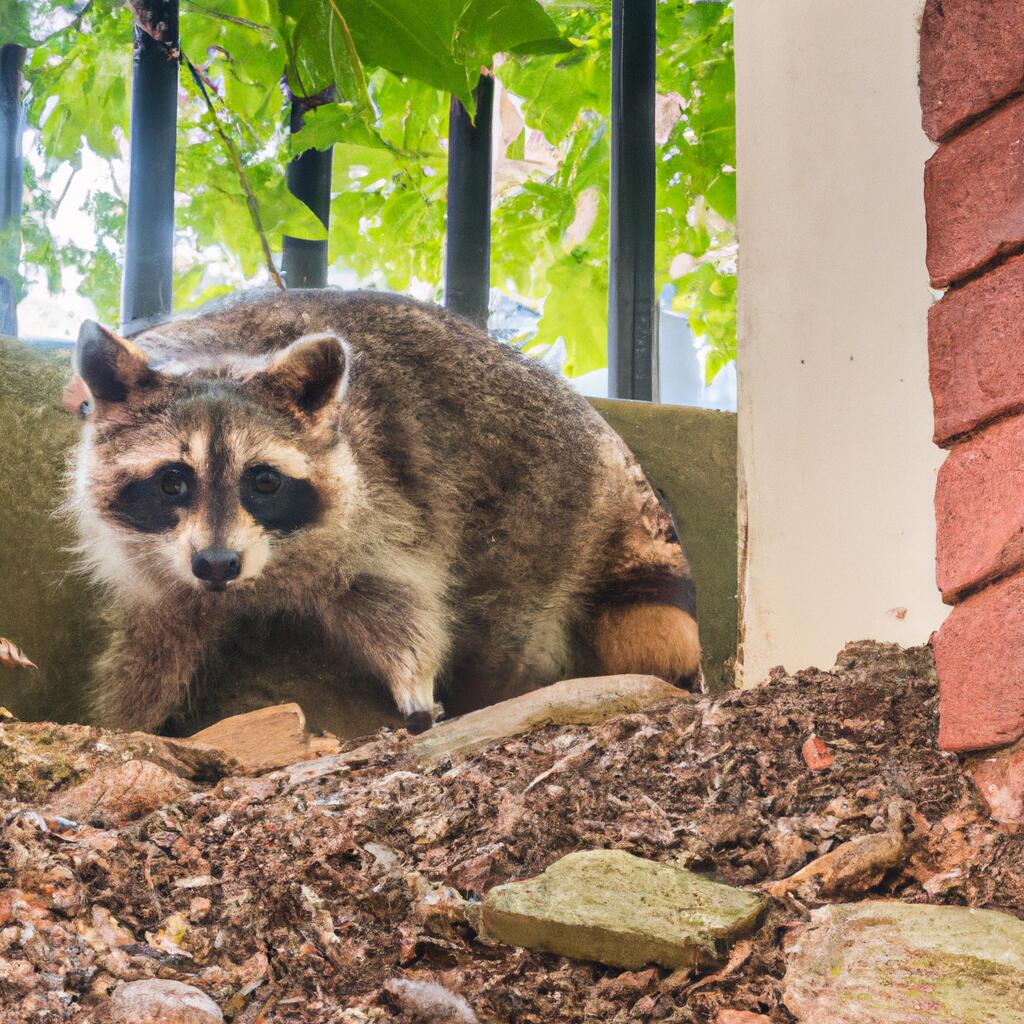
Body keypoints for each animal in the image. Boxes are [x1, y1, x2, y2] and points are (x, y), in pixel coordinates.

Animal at [69, 289, 700, 734]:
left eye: (264, 481)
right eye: (172, 482)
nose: (219, 564)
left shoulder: (383, 503)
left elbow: (400, 600)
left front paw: (414, 680)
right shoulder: (157, 566)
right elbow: (150, 645)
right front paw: (129, 720)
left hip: (545, 499)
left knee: (504, 619)